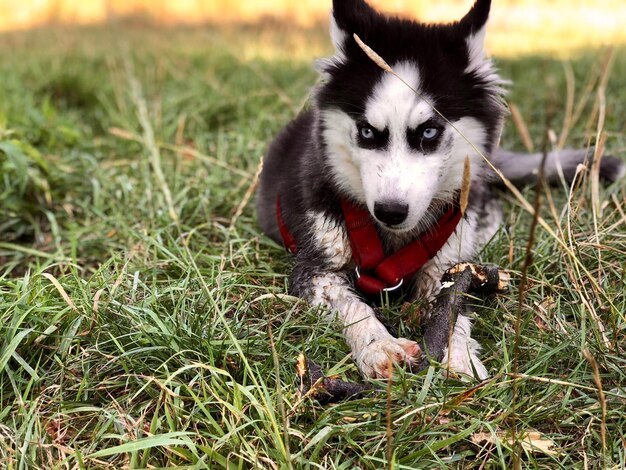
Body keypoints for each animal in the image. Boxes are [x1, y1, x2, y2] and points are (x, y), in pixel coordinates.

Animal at [254, 0, 620, 378]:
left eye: (429, 132)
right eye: (367, 132)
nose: (390, 211)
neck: (393, 240)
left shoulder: (447, 261)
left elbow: (451, 307)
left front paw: (456, 354)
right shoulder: (315, 268)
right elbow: (350, 305)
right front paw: (378, 346)